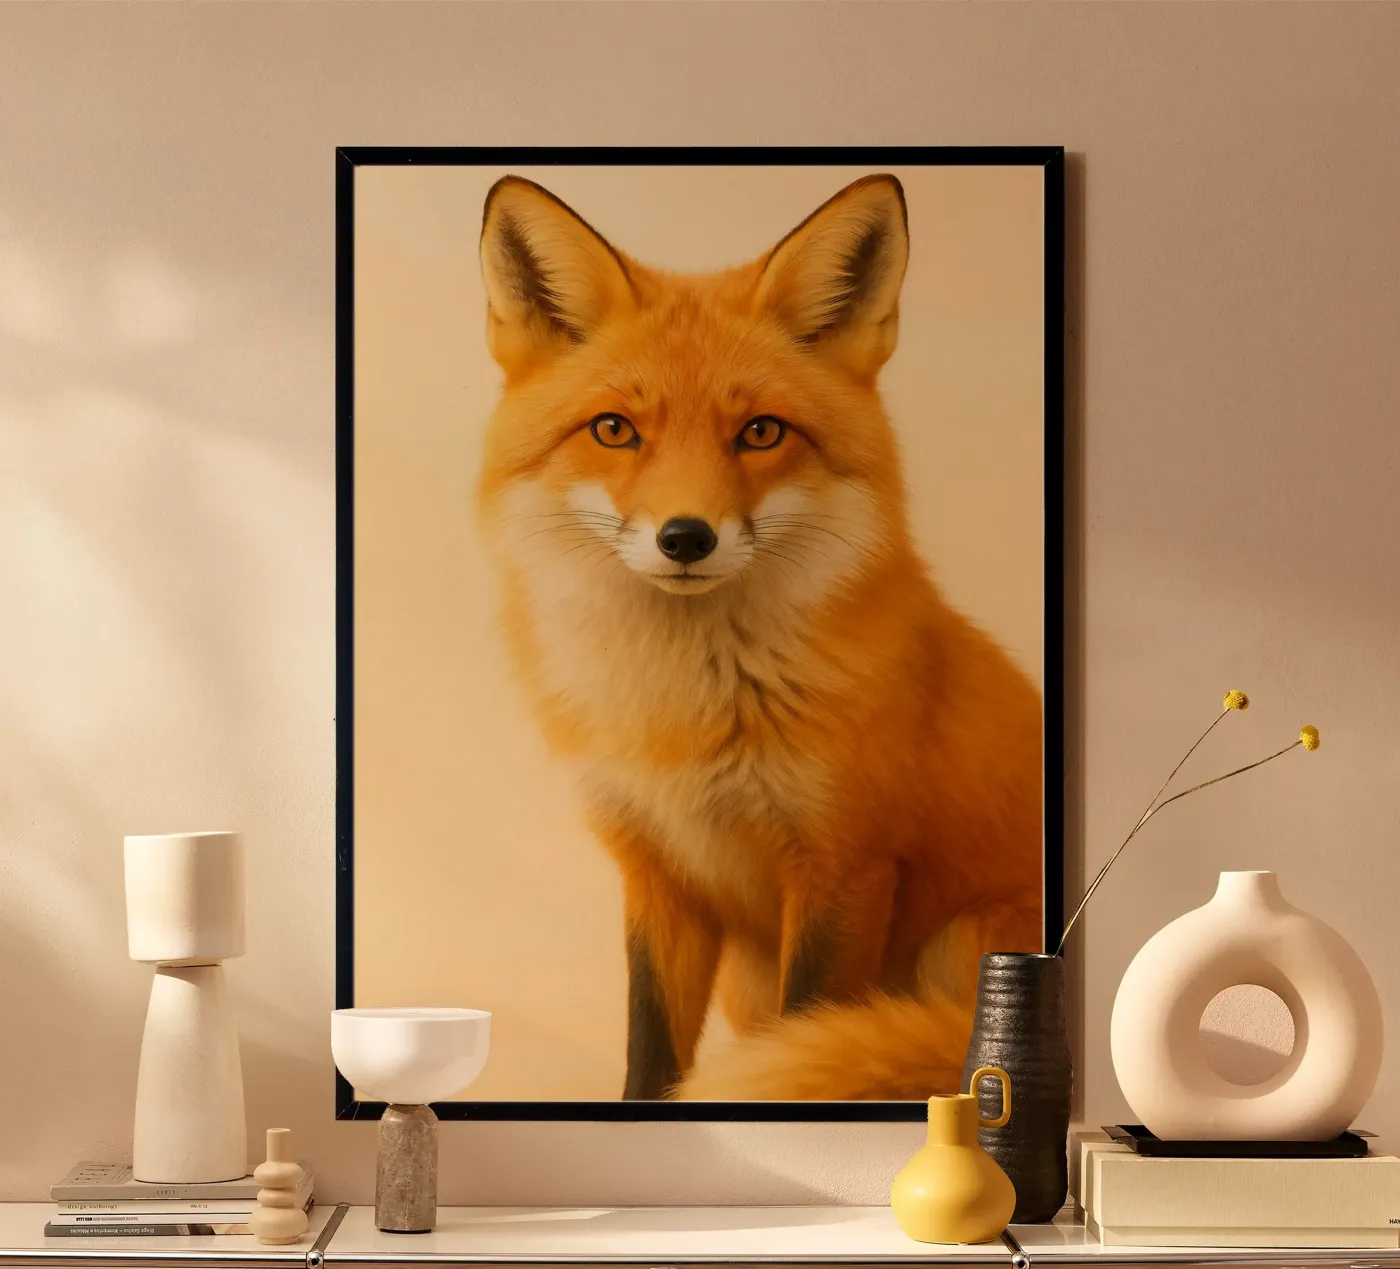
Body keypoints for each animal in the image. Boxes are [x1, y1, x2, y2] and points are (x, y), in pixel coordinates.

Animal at [474, 172, 1044, 1102]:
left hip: (967, 947)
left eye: (761, 431)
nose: (686, 537)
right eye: (614, 429)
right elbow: (650, 1051)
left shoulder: (845, 868)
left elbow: (806, 1027)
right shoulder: (657, 877)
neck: (684, 709)